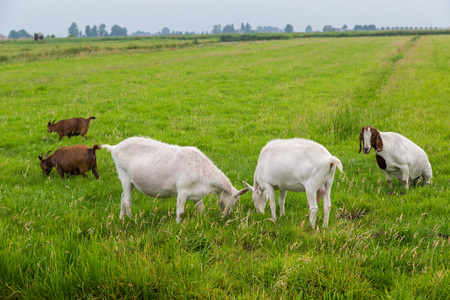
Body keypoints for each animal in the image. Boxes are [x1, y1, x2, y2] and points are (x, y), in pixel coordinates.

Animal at [101, 137, 250, 221]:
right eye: (236, 200)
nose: (227, 216)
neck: (203, 171)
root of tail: (114, 147)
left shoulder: (196, 194)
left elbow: (201, 209)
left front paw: (203, 222)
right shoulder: (182, 189)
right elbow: (181, 213)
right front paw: (179, 227)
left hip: (131, 181)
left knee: (122, 197)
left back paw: (121, 218)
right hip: (124, 175)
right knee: (127, 201)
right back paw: (131, 219)